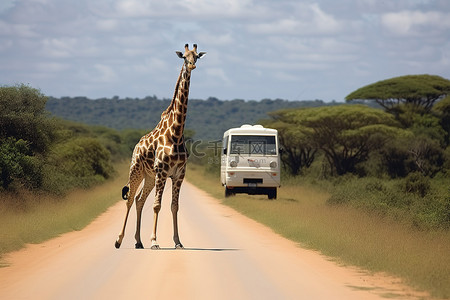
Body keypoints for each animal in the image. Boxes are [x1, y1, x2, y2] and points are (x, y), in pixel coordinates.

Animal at [116, 43, 207, 250]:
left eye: (197, 56)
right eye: (185, 57)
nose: (192, 66)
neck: (176, 132)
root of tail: (136, 146)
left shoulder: (179, 174)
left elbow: (174, 206)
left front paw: (178, 242)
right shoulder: (163, 171)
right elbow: (157, 205)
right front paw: (154, 241)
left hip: (150, 176)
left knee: (139, 200)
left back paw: (138, 241)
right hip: (137, 170)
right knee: (130, 198)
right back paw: (119, 240)